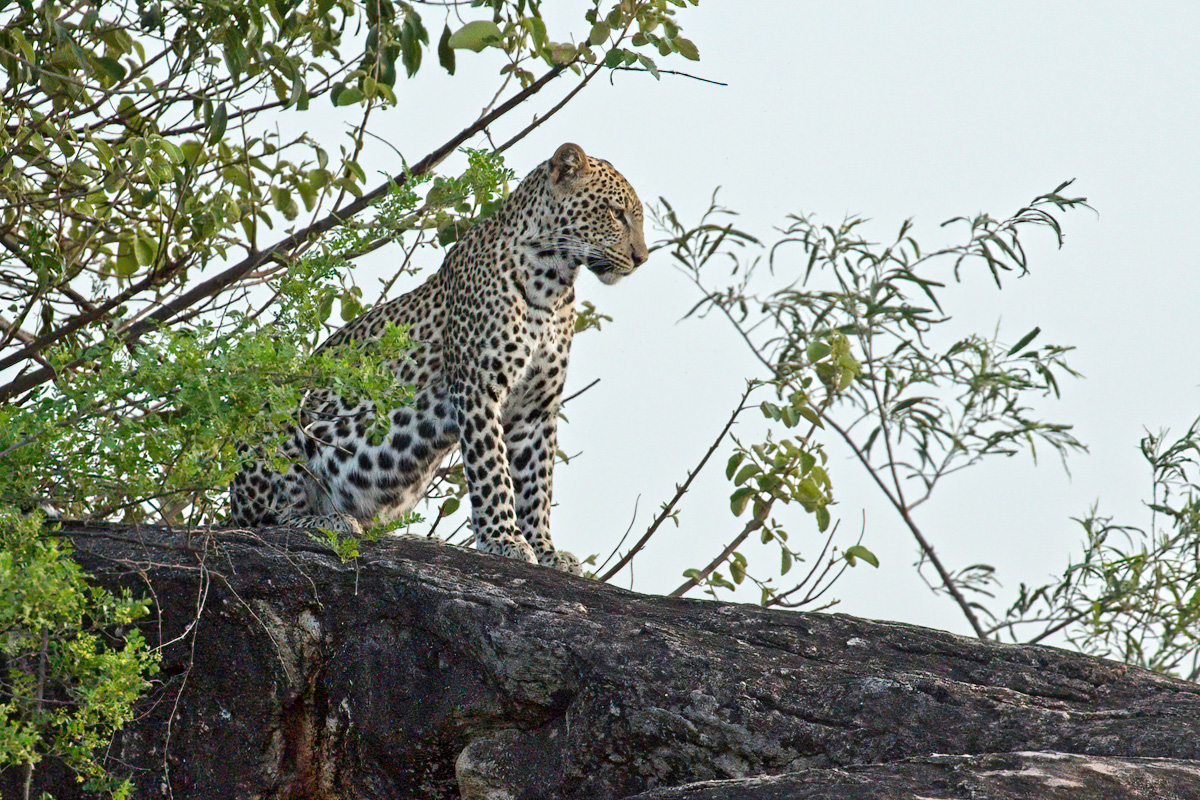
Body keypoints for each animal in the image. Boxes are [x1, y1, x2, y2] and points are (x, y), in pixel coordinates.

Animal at [231, 142, 648, 568]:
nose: (641, 258)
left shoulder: (535, 408)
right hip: (278, 419)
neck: (552, 284)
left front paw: (546, 550)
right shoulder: (478, 388)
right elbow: (491, 470)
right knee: (267, 518)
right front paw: (504, 539)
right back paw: (327, 521)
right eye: (616, 213)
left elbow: (536, 485)